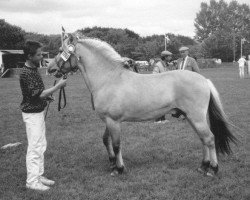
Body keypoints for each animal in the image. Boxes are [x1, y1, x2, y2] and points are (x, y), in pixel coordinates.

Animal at [47, 32, 236, 177]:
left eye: (60, 51)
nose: (50, 69)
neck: (108, 79)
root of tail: (204, 80)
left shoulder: (113, 121)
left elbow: (116, 144)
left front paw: (119, 169)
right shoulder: (107, 120)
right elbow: (105, 140)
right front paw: (111, 163)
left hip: (196, 117)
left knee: (209, 139)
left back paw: (212, 169)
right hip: (191, 117)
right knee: (203, 139)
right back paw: (203, 166)